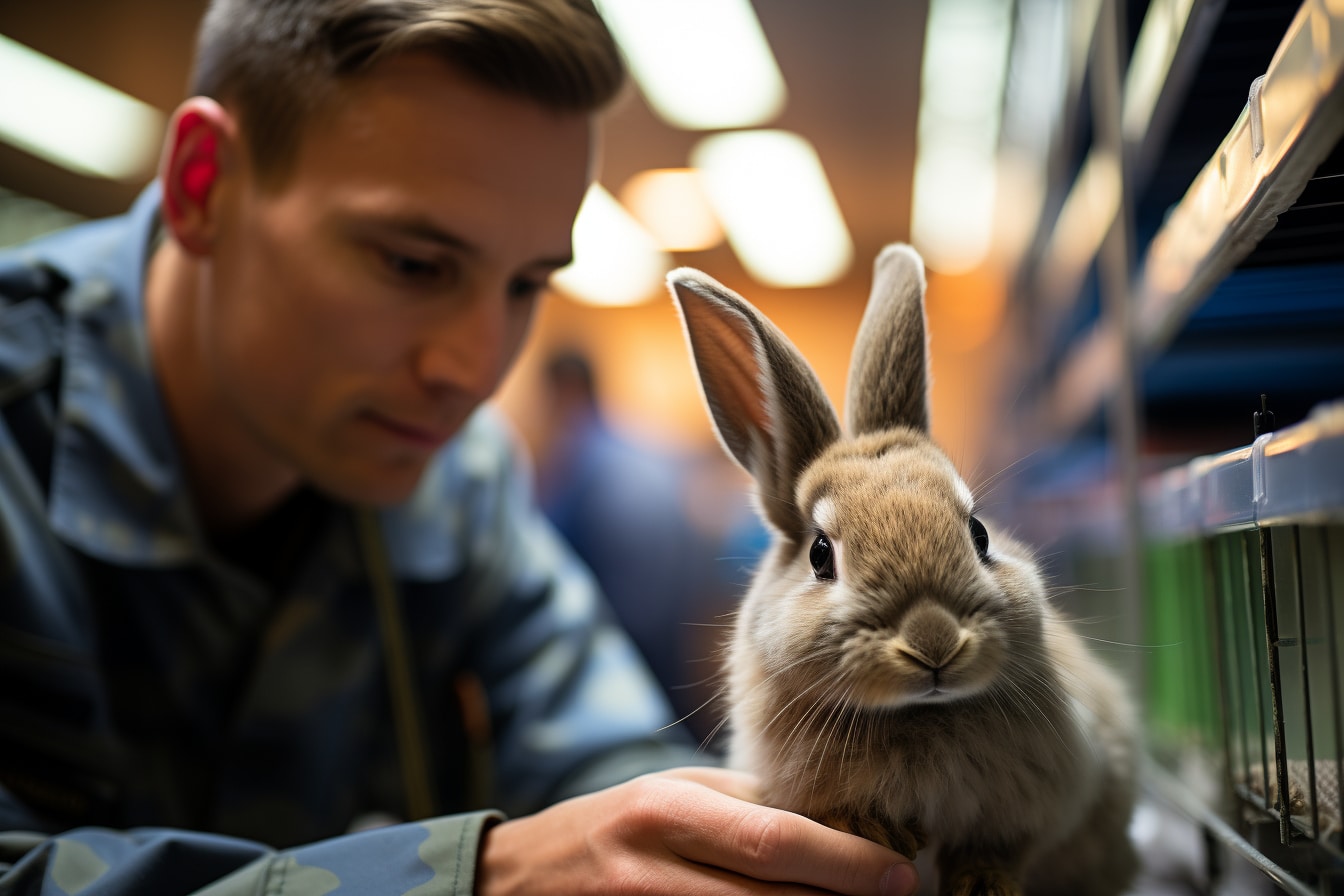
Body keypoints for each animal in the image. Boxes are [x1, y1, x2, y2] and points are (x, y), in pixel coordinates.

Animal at [667, 243, 1139, 896]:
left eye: (979, 533)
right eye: (820, 554)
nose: (933, 641)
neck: (921, 714)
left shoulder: (1045, 800)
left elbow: (1000, 847)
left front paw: (982, 884)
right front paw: (878, 831)